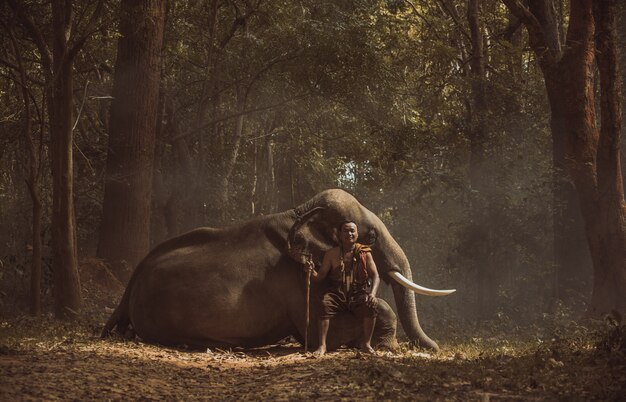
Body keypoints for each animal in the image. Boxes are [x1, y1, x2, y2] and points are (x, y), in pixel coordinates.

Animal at [102, 190, 454, 350]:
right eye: (371, 236)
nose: (436, 348)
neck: (301, 210)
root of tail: (129, 287)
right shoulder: (296, 279)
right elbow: (320, 330)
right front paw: (388, 346)